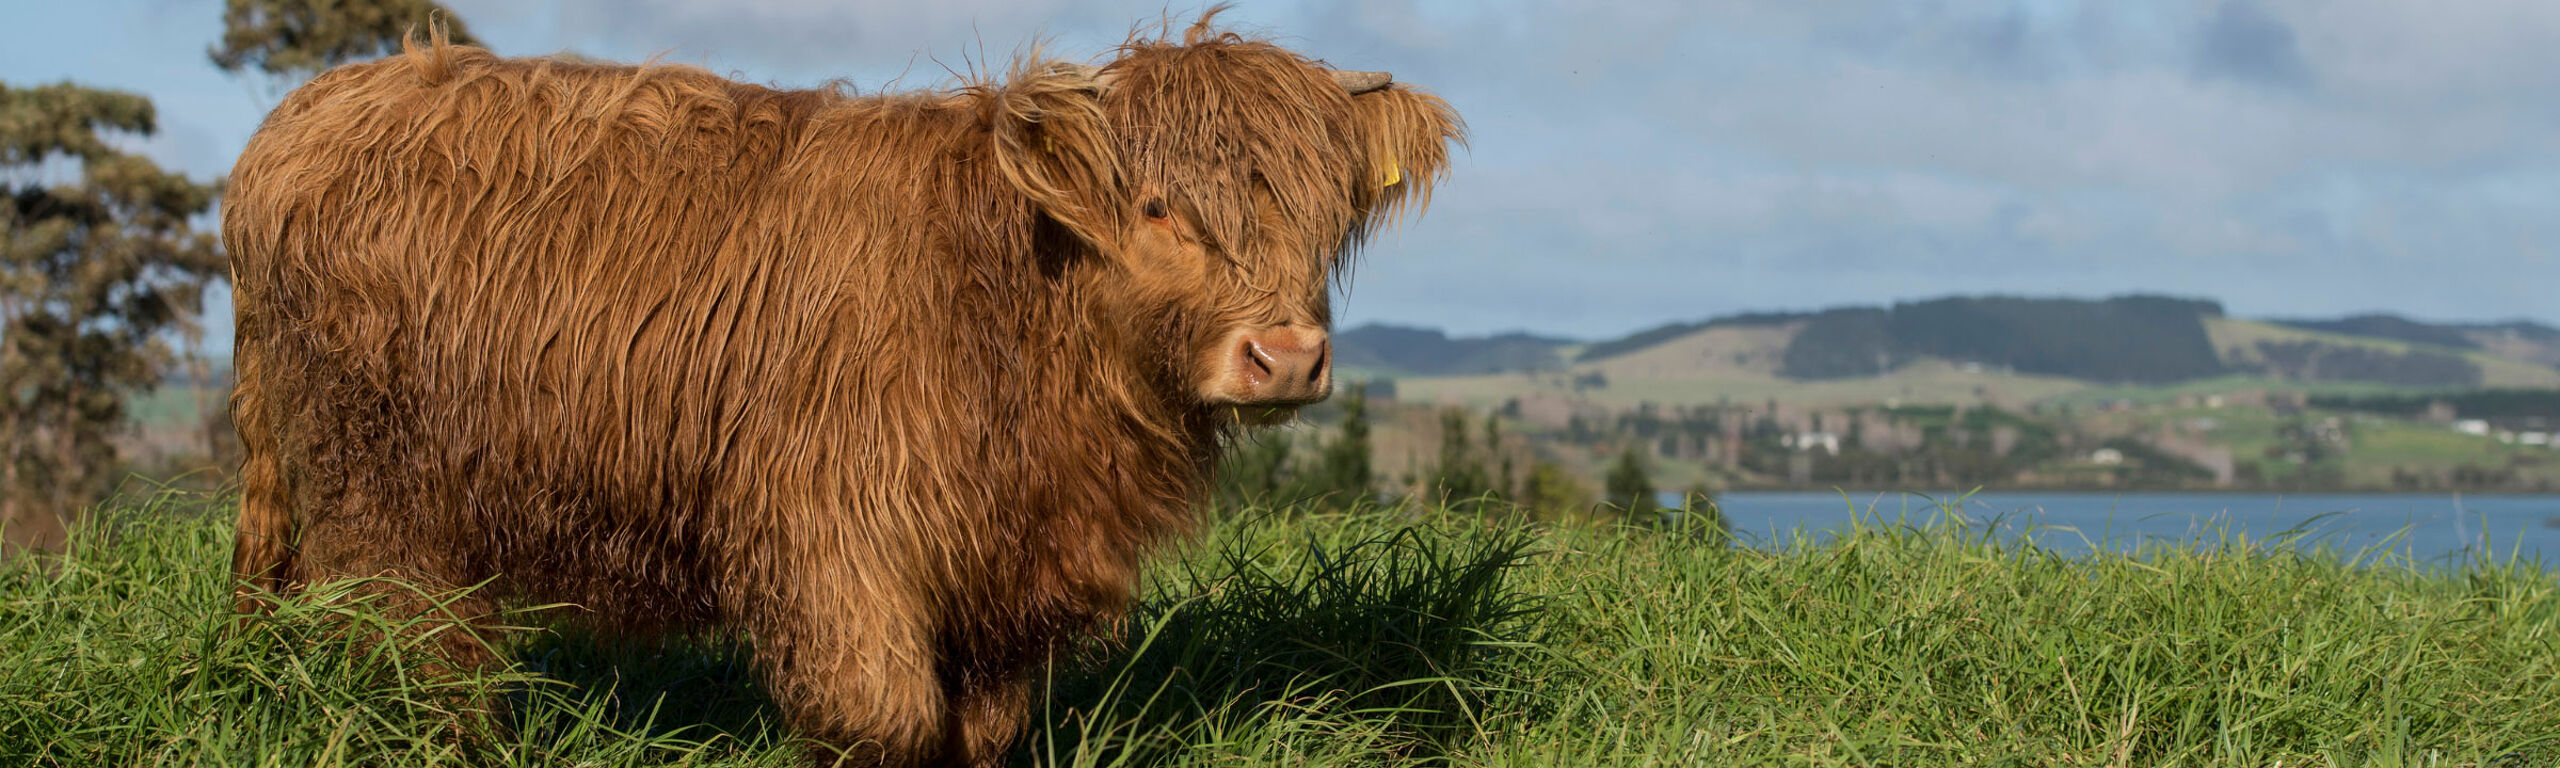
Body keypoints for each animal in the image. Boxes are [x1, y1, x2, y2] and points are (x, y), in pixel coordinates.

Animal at [220, 12, 1461, 767]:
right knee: (410, 646)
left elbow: (976, 730)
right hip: (382, 484)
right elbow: (886, 719)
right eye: (1157, 207)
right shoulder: (834, 537)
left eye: (1326, 212)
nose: (1284, 355)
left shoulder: (1003, 583)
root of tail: (315, 108)